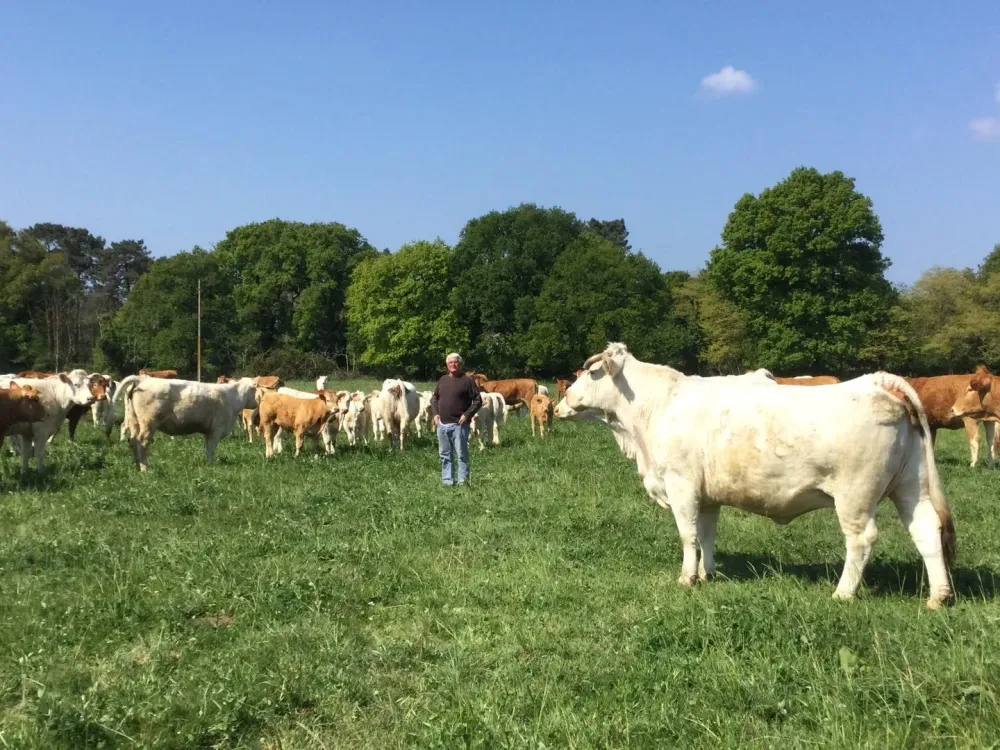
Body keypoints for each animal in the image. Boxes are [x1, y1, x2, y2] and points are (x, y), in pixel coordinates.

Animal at [113, 375, 257, 471]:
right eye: (255, 389)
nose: (257, 403)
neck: (233, 396)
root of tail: (142, 378)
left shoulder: (209, 431)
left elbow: (207, 448)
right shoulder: (216, 429)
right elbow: (211, 449)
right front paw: (211, 465)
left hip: (134, 421)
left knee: (133, 441)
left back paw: (137, 465)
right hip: (148, 423)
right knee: (142, 442)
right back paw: (144, 468)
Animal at [557, 342, 955, 610]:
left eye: (590, 372)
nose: (561, 405)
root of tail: (876, 381)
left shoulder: (681, 484)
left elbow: (687, 535)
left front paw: (687, 578)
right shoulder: (708, 495)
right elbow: (707, 535)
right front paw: (707, 573)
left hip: (855, 496)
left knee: (861, 540)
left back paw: (843, 593)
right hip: (910, 486)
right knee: (926, 529)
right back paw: (938, 596)